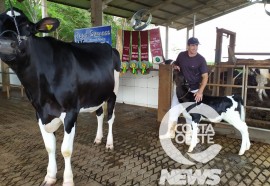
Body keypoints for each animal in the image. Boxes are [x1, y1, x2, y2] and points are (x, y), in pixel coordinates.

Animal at [0, 6, 120, 185]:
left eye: (28, 27)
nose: (6, 44)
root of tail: (107, 45)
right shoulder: (40, 113)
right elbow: (50, 146)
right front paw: (50, 176)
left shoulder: (70, 112)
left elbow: (66, 150)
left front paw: (68, 180)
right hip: (96, 95)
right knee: (99, 114)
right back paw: (98, 138)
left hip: (113, 93)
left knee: (110, 117)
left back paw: (109, 143)